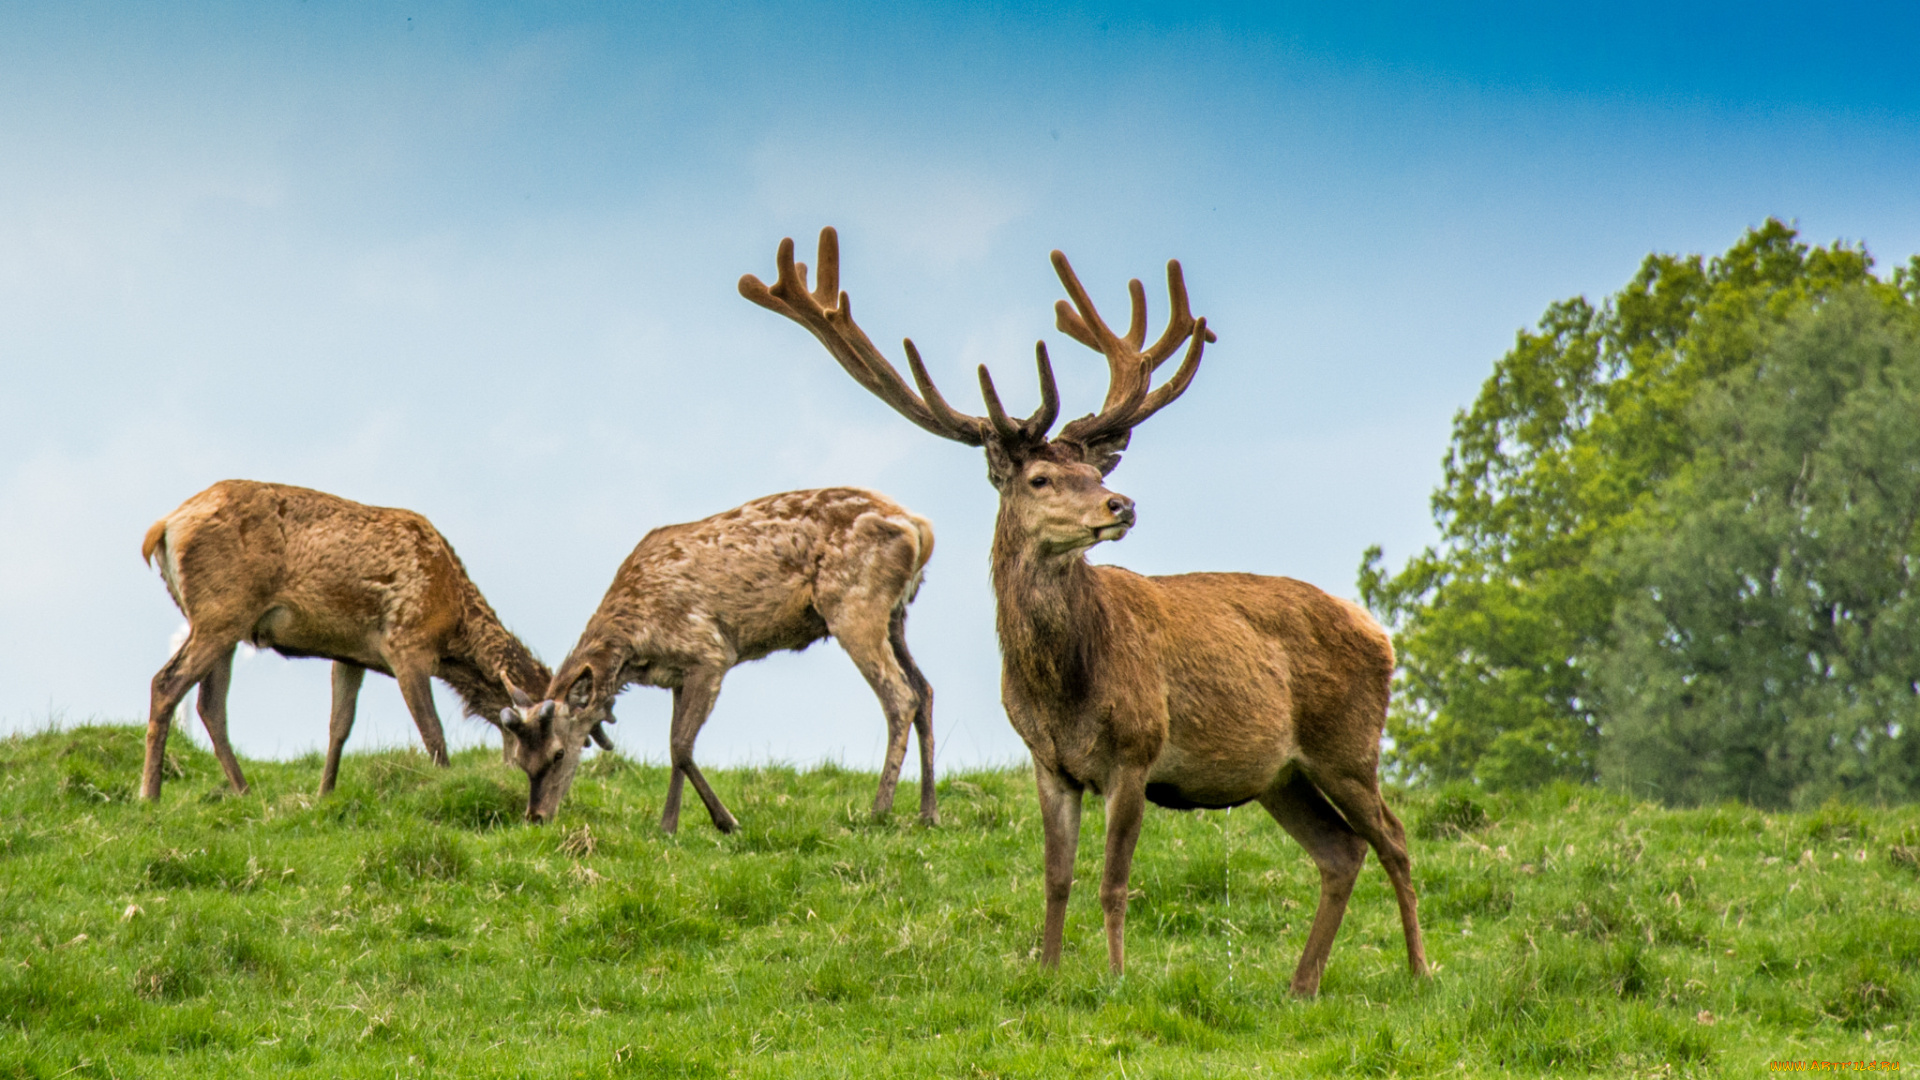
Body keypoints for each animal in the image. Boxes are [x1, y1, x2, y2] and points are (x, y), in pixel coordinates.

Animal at [503, 484, 936, 826]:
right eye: (519, 760)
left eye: (559, 753)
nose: (536, 817)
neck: (636, 645)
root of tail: (920, 529)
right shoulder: (677, 675)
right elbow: (673, 744)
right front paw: (668, 826)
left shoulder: (709, 652)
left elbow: (681, 745)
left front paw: (726, 821)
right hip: (896, 614)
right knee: (925, 690)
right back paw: (927, 813)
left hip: (854, 606)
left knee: (900, 696)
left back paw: (879, 811)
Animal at [733, 226, 1428, 991]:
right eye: (1040, 478)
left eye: (1095, 472)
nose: (1120, 505)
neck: (1062, 687)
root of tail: (1380, 633)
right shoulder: (1048, 762)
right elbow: (1056, 877)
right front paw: (1048, 969)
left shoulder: (1137, 752)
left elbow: (1113, 882)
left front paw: (1118, 977)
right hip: (1279, 774)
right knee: (1341, 851)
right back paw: (1302, 986)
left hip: (1347, 745)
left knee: (1394, 840)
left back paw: (1420, 970)